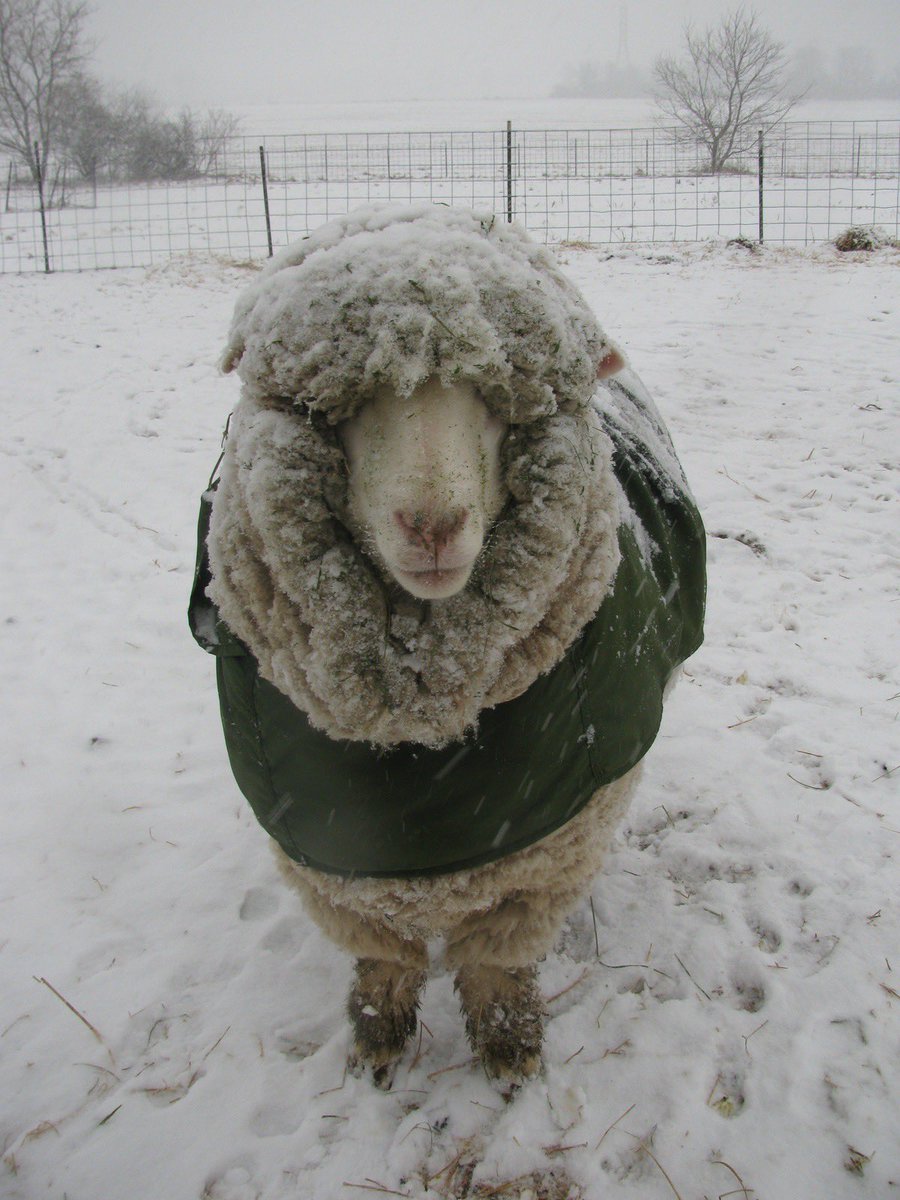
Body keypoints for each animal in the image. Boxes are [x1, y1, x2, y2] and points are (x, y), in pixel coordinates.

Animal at [189, 203, 706, 1086]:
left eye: (496, 406)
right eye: (345, 411)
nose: (432, 524)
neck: (423, 741)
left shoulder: (547, 854)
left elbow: (494, 962)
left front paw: (508, 1048)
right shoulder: (328, 856)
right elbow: (386, 957)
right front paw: (378, 1036)